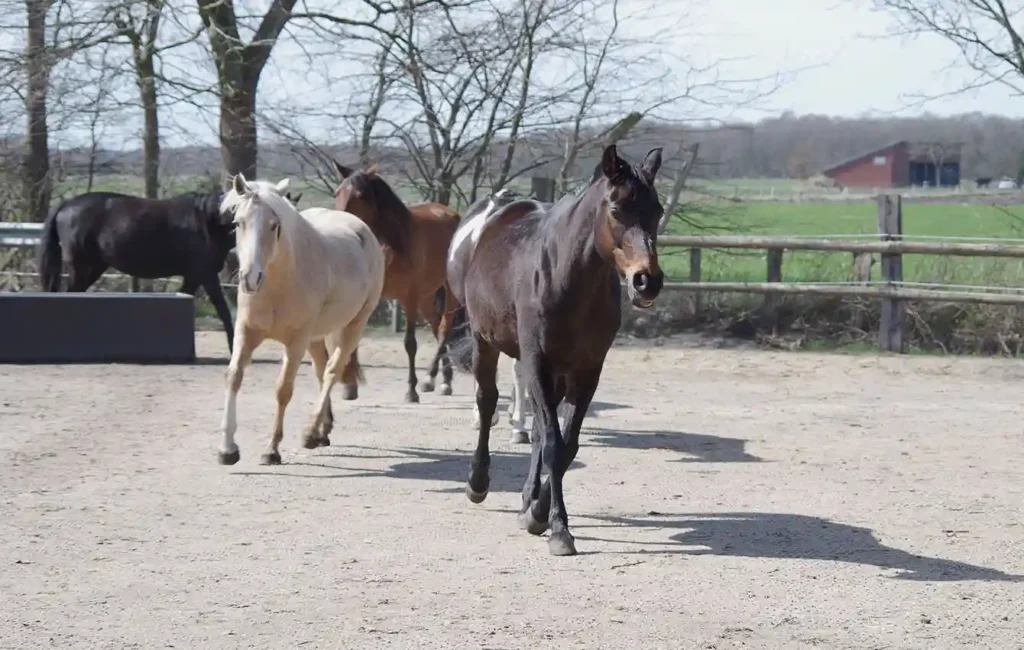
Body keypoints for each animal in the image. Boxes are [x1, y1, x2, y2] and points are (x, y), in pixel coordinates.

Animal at [38, 188, 237, 351]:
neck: (210, 221)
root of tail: (66, 205)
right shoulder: (206, 274)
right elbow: (223, 310)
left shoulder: (193, 277)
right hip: (82, 268)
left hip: (92, 269)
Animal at [215, 175, 386, 467]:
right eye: (238, 222)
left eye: (274, 226)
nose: (250, 278)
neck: (278, 284)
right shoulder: (245, 333)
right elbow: (233, 376)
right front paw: (227, 449)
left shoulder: (296, 341)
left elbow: (283, 389)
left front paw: (271, 449)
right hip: (316, 337)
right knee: (320, 370)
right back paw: (322, 431)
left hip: (353, 327)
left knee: (331, 371)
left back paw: (310, 432)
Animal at [331, 162, 461, 404]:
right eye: (337, 193)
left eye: (360, 195)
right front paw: (350, 387)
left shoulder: (409, 298)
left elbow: (410, 344)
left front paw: (411, 390)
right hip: (426, 297)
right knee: (436, 326)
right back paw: (441, 379)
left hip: (447, 292)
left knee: (444, 328)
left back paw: (434, 379)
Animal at [446, 144, 665, 556]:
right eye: (617, 209)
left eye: (657, 211)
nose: (647, 281)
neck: (570, 278)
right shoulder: (538, 362)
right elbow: (551, 441)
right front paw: (558, 529)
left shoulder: (587, 370)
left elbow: (566, 446)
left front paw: (539, 512)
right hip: (487, 341)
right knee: (487, 400)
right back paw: (478, 482)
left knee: (534, 427)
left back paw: (527, 500)